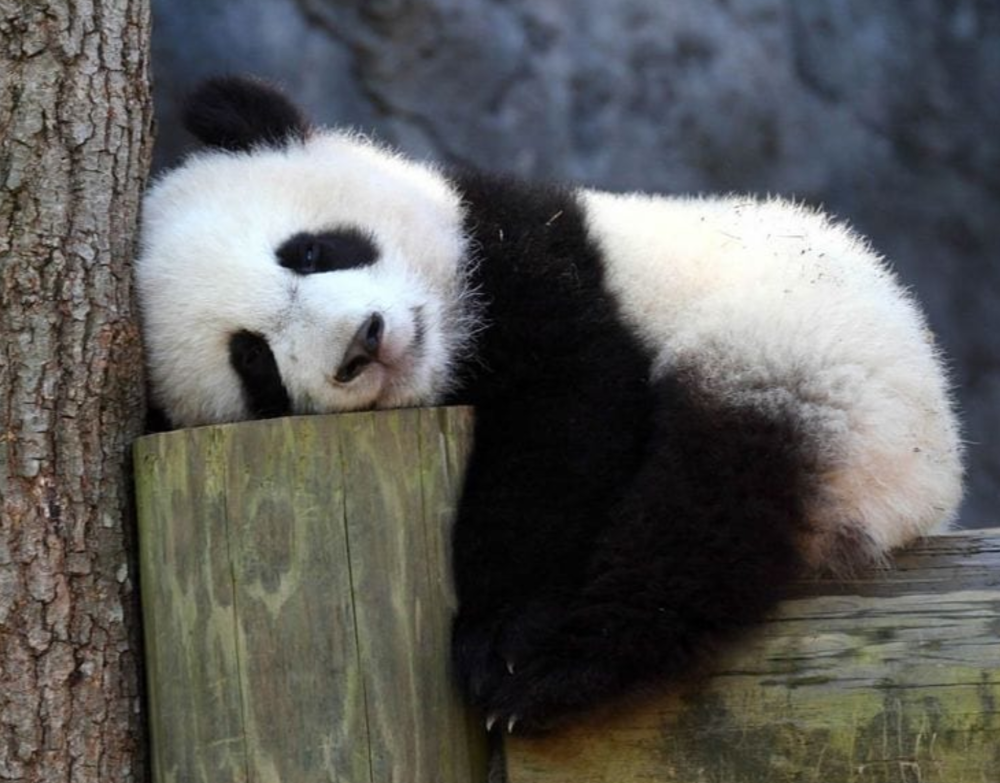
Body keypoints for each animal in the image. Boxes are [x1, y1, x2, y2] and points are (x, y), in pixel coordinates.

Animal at [137, 76, 963, 733]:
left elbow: (567, 429)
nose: (363, 343)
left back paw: (564, 669)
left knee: (705, 503)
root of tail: (931, 483)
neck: (453, 349)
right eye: (254, 362)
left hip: (808, 358)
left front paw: (504, 639)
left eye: (309, 250)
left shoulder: (534, 261)